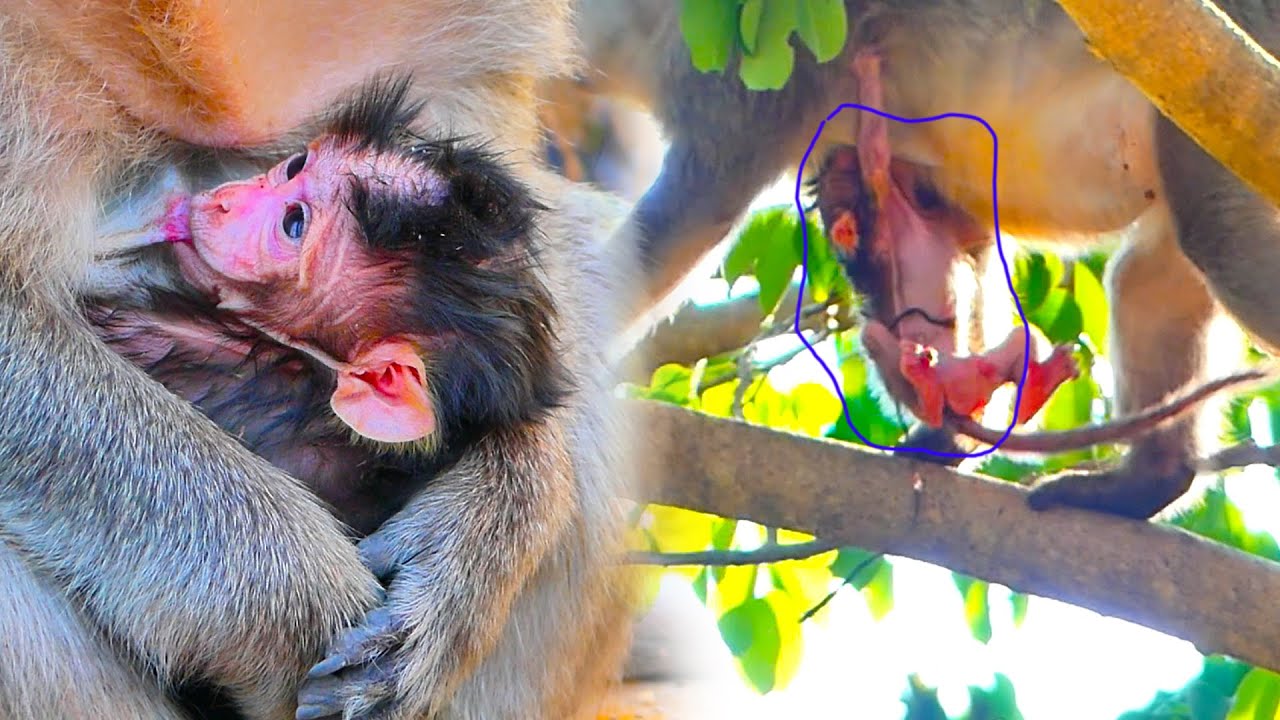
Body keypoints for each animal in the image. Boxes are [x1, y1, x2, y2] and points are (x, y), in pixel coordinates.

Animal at [586, 0, 1280, 520]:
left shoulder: (737, 69)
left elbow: (694, 216)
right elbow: (950, 236)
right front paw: (949, 409)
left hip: (1231, 94)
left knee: (1219, 243)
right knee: (1153, 275)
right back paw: (1150, 481)